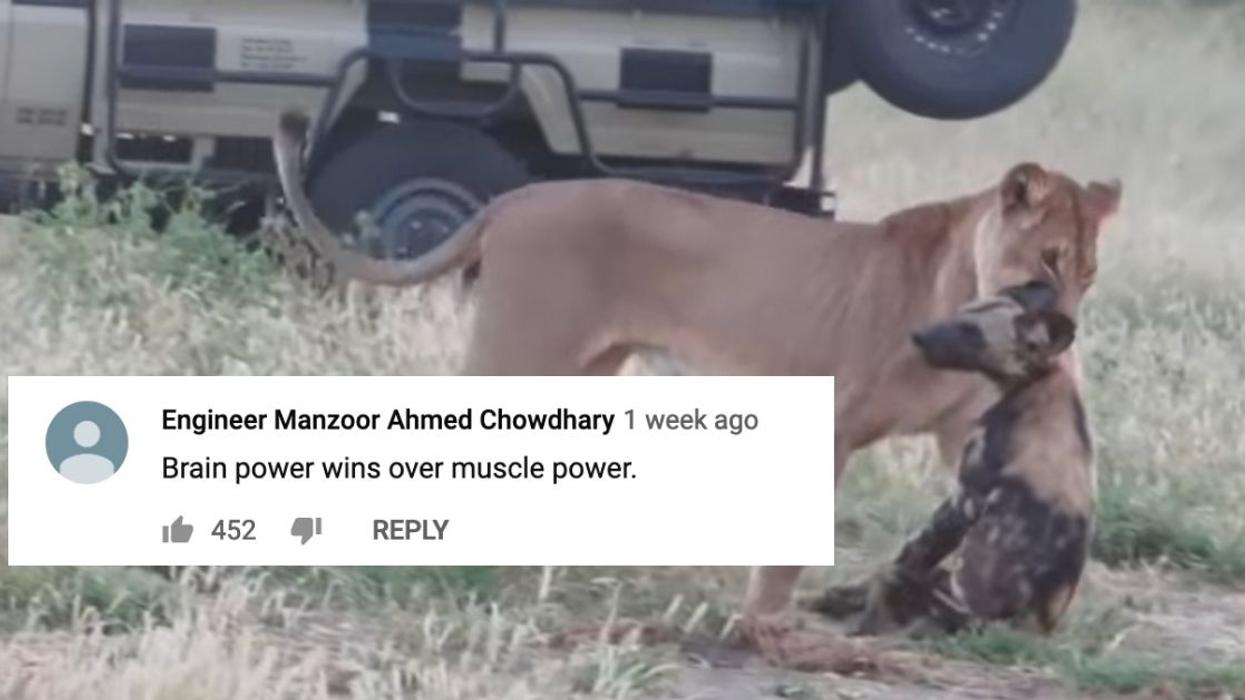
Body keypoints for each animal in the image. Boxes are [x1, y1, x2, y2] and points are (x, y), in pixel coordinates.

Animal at [272, 111, 1120, 650]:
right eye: (1046, 262)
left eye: (1088, 273)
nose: (1067, 330)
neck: (960, 286)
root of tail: (512, 197)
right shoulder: (832, 418)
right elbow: (789, 549)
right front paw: (764, 627)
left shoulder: (968, 431)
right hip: (518, 349)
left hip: (582, 370)